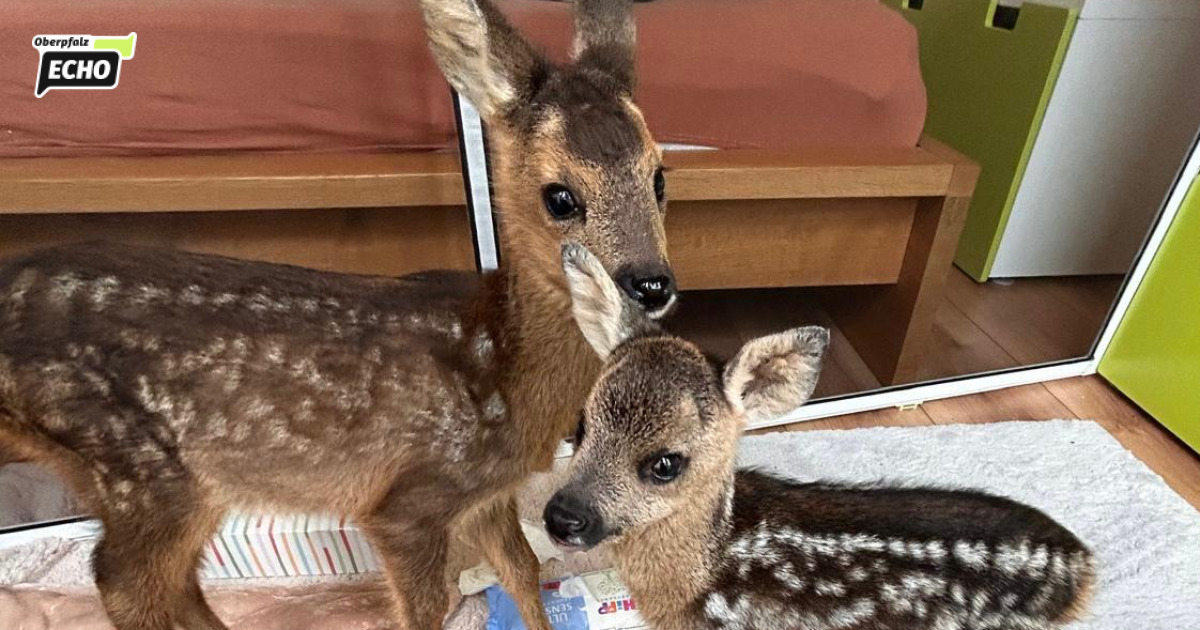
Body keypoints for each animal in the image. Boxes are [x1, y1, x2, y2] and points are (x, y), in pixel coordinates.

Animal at [0, 1, 673, 628]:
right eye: (560, 197)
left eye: (660, 177)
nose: (652, 283)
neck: (502, 365)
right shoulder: (413, 497)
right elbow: (430, 603)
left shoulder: (488, 495)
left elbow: (524, 569)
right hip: (135, 469)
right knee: (123, 583)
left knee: (173, 581)